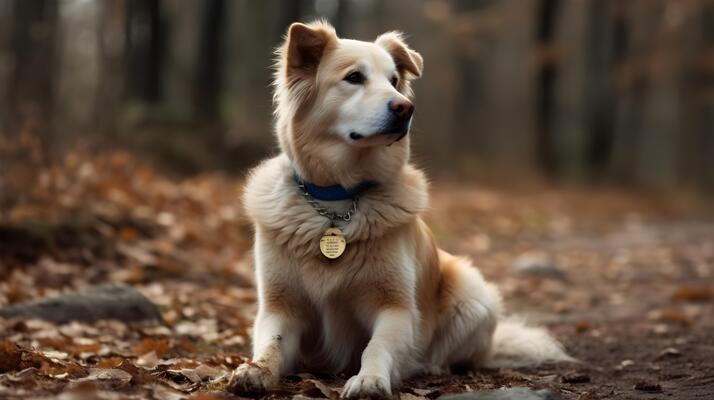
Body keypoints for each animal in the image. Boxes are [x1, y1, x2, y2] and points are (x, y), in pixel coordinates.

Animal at [228, 21, 572, 396]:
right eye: (354, 77)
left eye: (394, 80)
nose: (406, 107)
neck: (337, 201)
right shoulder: (280, 308)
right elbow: (271, 345)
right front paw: (254, 371)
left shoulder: (396, 308)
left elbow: (376, 346)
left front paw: (369, 379)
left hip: (473, 294)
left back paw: (428, 365)